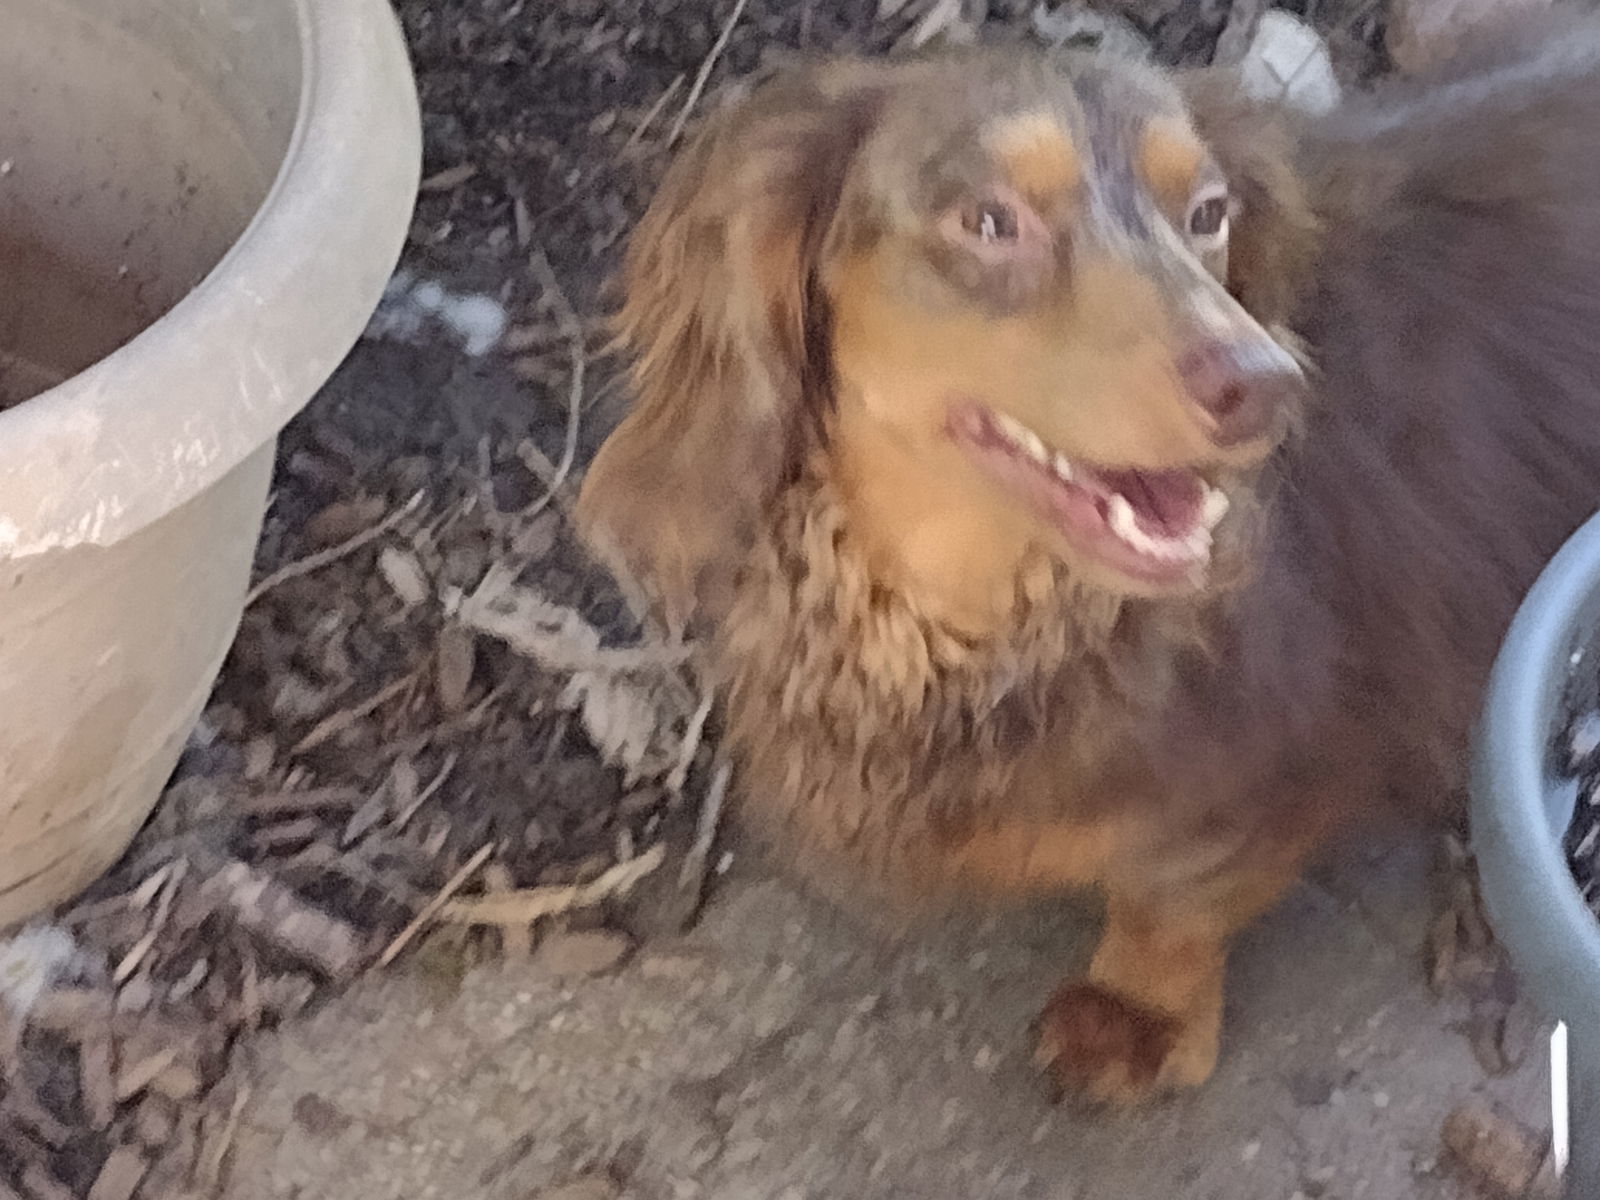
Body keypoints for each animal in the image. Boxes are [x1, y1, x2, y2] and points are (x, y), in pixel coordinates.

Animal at [576, 21, 1600, 1107]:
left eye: (1206, 213)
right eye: (989, 221)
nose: (1267, 385)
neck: (986, 615)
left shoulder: (1274, 764)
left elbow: (1176, 890)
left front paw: (1135, 1014)